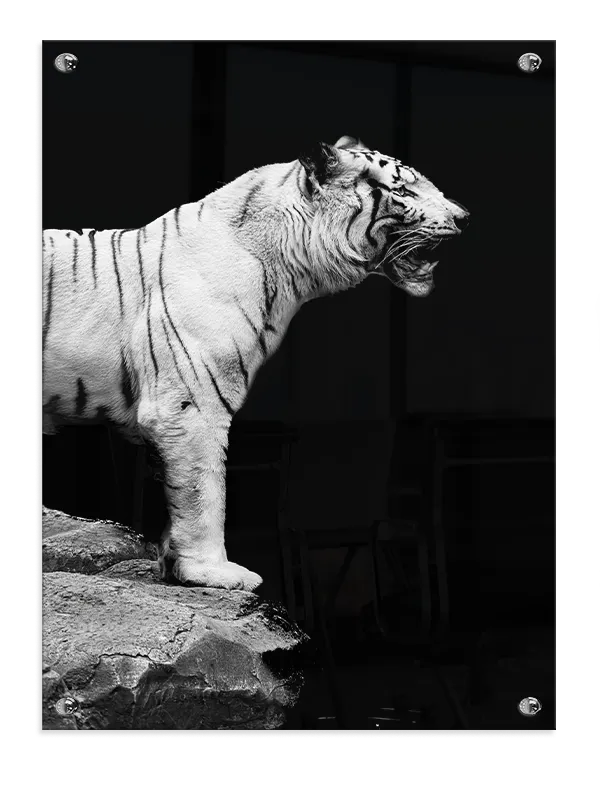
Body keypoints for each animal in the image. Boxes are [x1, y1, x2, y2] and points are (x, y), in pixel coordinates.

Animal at [42, 135, 469, 591]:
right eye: (403, 190)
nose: (463, 216)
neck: (290, 271)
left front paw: (175, 565)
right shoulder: (191, 404)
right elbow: (204, 490)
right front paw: (213, 571)